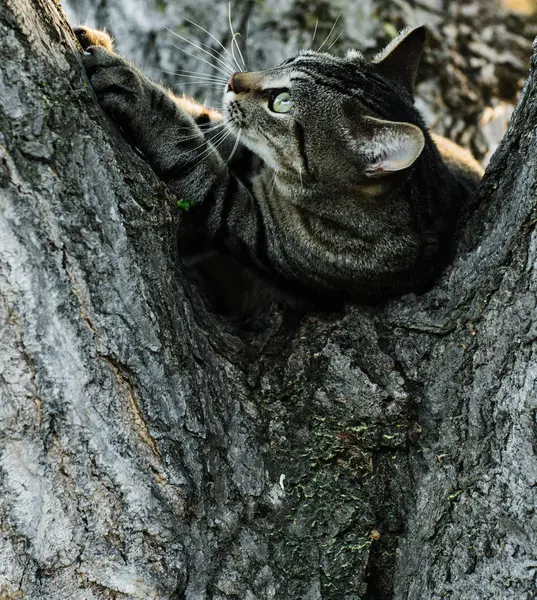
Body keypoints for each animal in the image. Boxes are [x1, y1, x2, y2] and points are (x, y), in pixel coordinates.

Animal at [74, 24, 482, 308]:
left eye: (282, 102)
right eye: (286, 61)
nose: (233, 80)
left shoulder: (244, 221)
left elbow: (186, 147)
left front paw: (129, 84)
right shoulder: (243, 149)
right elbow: (204, 122)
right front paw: (96, 39)